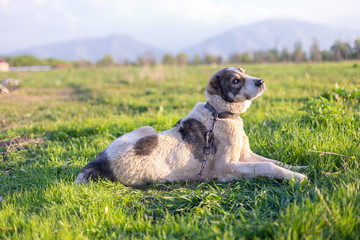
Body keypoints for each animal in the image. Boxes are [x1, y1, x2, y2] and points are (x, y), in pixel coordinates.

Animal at [76, 67, 306, 186]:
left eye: (245, 72)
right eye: (235, 81)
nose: (261, 81)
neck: (220, 114)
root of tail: (97, 163)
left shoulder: (245, 155)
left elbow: (275, 161)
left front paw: (299, 168)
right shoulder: (228, 167)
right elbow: (268, 166)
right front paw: (297, 177)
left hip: (147, 128)